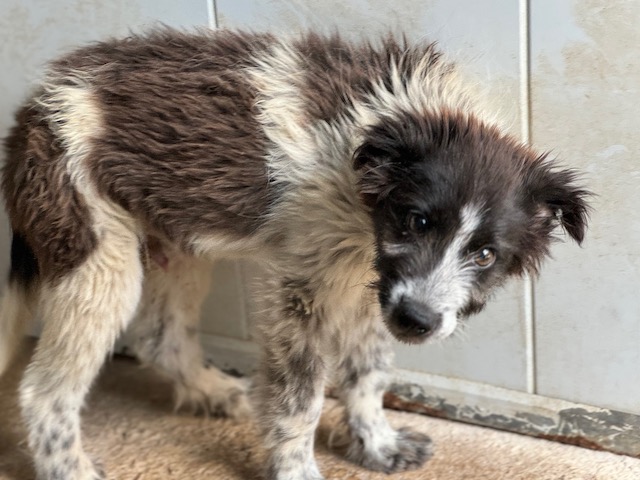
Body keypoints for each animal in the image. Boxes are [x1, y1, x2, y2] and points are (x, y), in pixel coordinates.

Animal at [0, 28, 590, 480]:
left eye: (486, 254)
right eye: (417, 221)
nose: (418, 322)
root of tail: (31, 113)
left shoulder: (372, 288)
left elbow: (369, 375)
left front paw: (377, 445)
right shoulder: (304, 292)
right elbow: (299, 401)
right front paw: (297, 469)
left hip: (175, 244)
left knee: (160, 337)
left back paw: (213, 391)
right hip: (96, 257)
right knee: (42, 394)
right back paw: (71, 467)